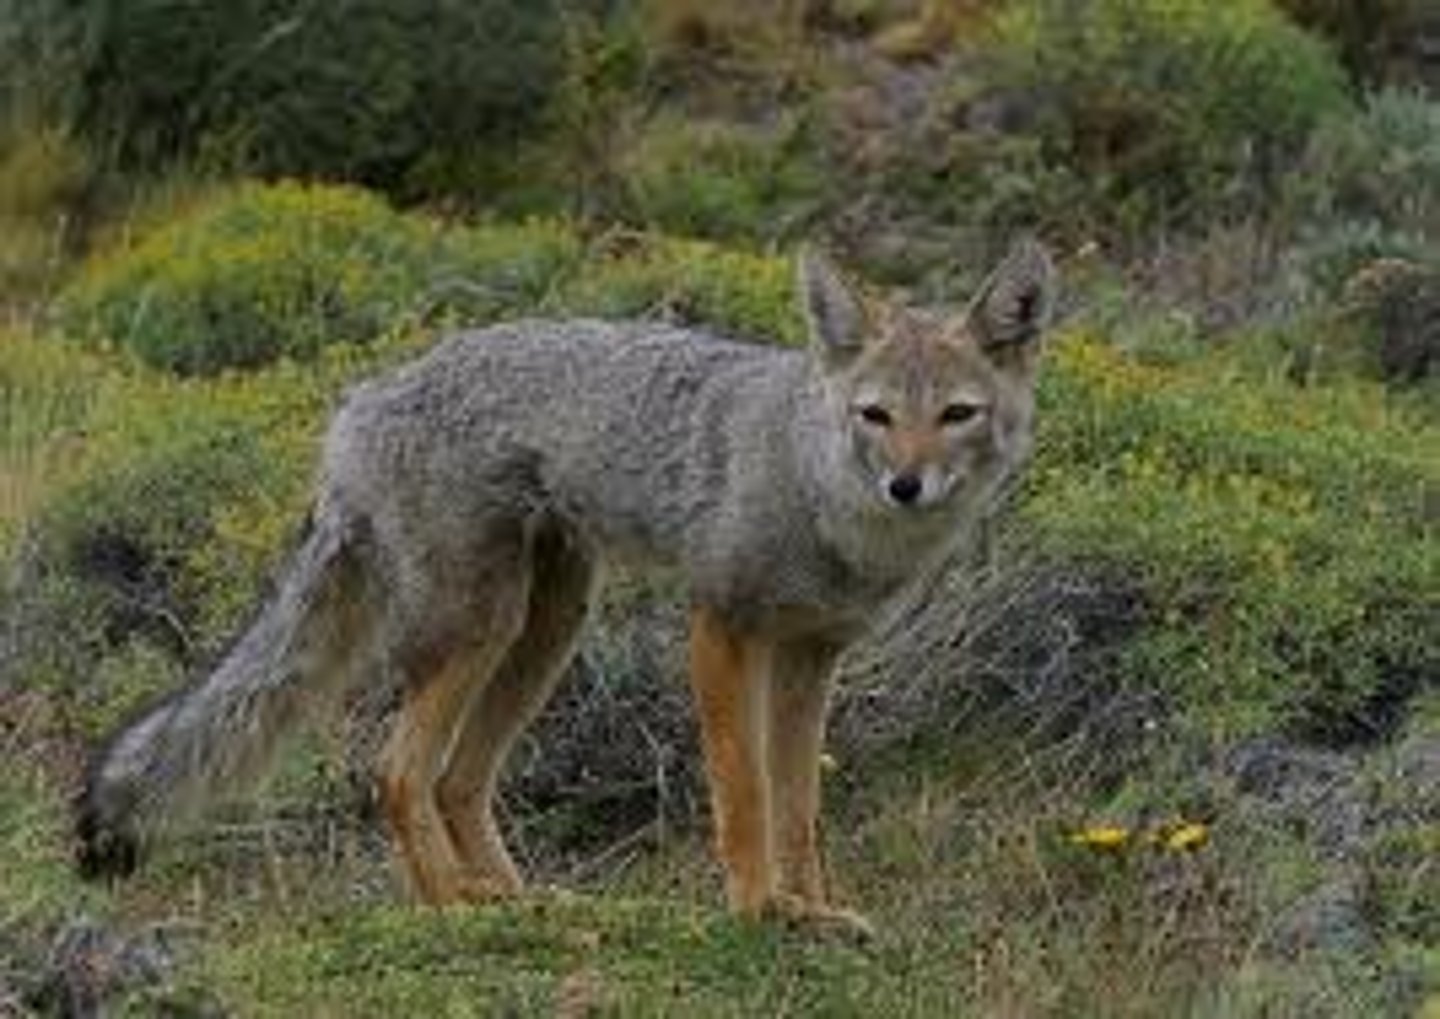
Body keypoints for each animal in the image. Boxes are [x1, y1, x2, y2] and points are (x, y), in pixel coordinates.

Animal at [75, 239, 1056, 938]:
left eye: (956, 415)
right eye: (876, 415)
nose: (906, 485)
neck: (824, 500)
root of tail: (360, 398)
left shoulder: (812, 657)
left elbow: (798, 811)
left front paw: (812, 908)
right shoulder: (721, 625)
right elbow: (744, 795)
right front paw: (757, 909)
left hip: (545, 630)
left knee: (456, 781)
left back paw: (522, 902)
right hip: (481, 626)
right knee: (398, 772)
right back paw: (453, 908)